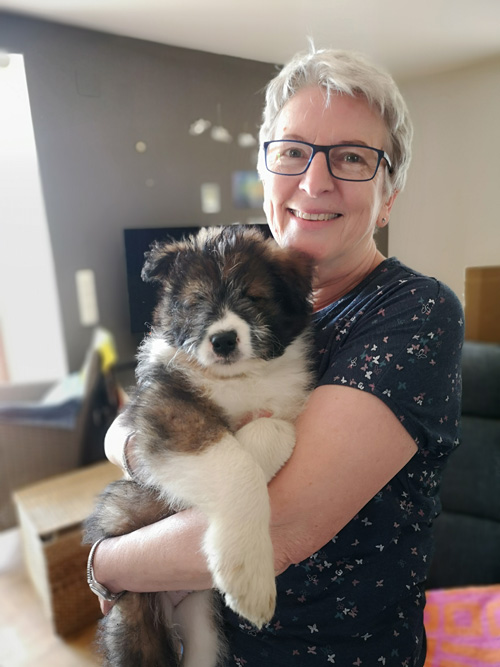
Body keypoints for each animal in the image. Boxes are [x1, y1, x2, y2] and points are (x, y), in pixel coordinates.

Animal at [84, 225, 314, 667]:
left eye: (253, 297)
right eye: (196, 303)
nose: (223, 340)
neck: (236, 379)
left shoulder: (283, 408)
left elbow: (272, 433)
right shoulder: (168, 417)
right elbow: (234, 463)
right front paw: (250, 578)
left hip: (203, 623)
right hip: (138, 619)